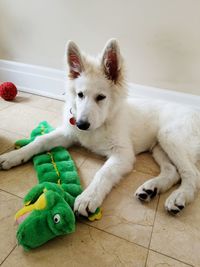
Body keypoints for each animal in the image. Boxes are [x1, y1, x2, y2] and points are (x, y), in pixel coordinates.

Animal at [0, 39, 200, 216]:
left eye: (101, 97)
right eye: (80, 94)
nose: (81, 124)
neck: (100, 124)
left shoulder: (123, 154)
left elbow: (103, 173)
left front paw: (88, 197)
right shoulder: (68, 134)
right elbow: (40, 141)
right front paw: (13, 156)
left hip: (169, 137)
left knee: (192, 174)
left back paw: (179, 196)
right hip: (159, 147)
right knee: (172, 171)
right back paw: (150, 188)